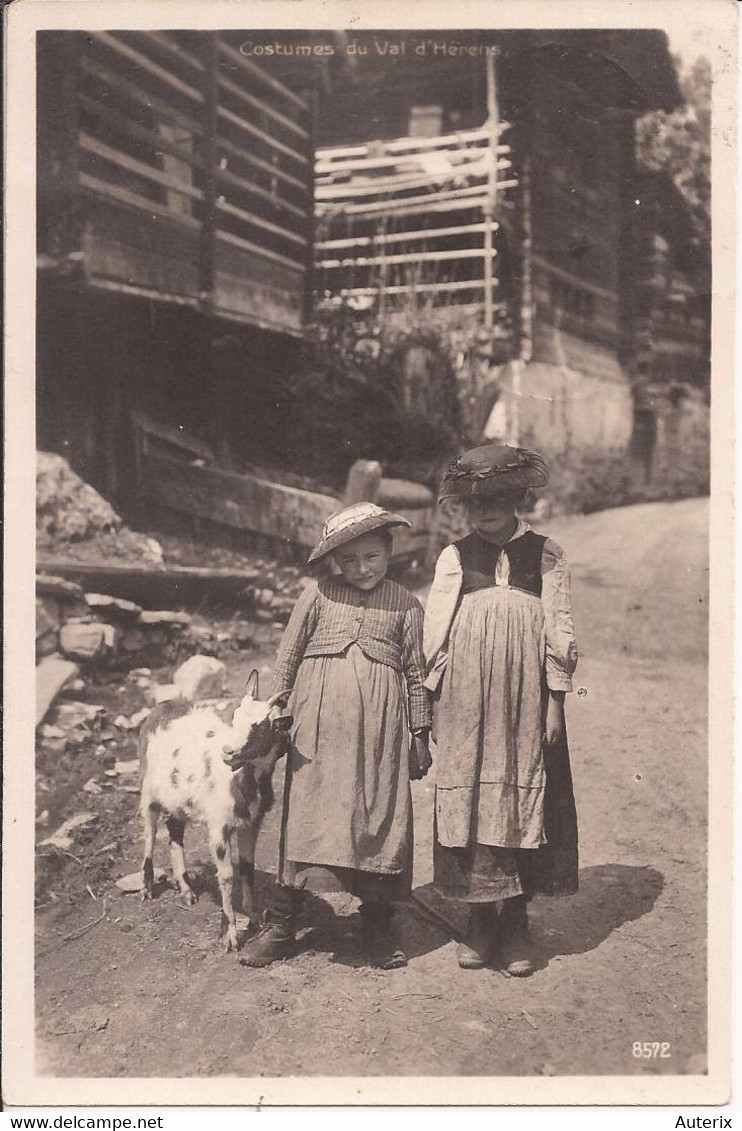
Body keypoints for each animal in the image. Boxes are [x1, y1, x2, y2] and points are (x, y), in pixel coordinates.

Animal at [140, 665, 291, 950]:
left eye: (261, 726)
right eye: (235, 716)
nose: (228, 751)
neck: (241, 780)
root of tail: (163, 707)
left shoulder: (251, 823)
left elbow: (247, 867)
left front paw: (253, 917)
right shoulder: (219, 827)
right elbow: (227, 875)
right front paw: (230, 934)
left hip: (178, 798)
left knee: (174, 830)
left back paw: (187, 890)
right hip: (148, 789)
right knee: (150, 832)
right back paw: (147, 888)